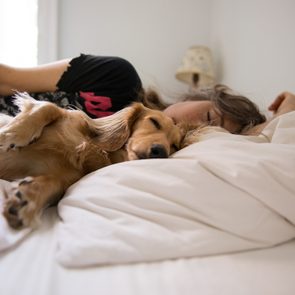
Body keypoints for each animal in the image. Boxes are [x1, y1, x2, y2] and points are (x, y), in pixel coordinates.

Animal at [0, 93, 183, 230]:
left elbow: (55, 183)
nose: (161, 152)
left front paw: (29, 198)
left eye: (174, 145)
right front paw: (11, 133)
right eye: (154, 122)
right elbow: (49, 107)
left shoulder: (65, 177)